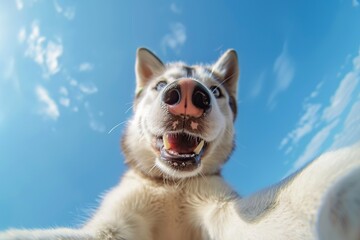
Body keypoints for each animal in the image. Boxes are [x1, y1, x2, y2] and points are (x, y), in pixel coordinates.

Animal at [0, 47, 360, 239]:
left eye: (215, 91)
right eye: (161, 85)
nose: (188, 94)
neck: (173, 186)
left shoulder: (219, 205)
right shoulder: (113, 225)